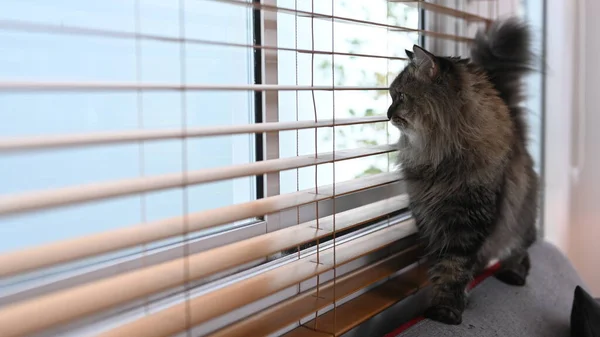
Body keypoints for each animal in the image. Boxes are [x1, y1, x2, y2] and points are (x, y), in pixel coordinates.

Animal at [390, 17, 540, 322]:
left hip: (521, 219)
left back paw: (514, 274)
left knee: (523, 249)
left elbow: (454, 266)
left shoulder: (469, 220)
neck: (442, 157)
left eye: (399, 96)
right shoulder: (428, 216)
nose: (387, 114)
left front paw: (446, 309)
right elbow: (440, 262)